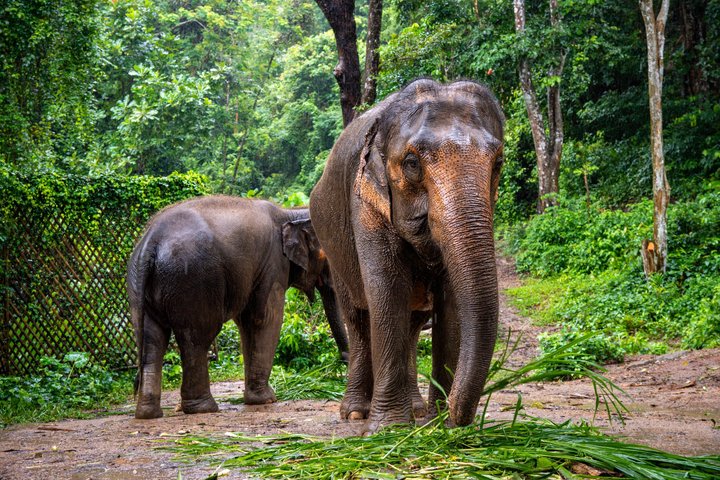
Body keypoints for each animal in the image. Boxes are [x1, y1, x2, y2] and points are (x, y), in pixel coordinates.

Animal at [127, 195, 349, 419]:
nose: (342, 366)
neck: (291, 212)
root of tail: (151, 241)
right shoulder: (273, 265)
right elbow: (264, 318)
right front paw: (267, 399)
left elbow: (246, 323)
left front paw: (256, 398)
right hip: (192, 281)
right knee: (196, 339)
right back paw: (204, 408)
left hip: (142, 285)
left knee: (152, 340)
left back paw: (148, 413)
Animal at [309, 79, 504, 433]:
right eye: (412, 164)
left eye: (498, 163)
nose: (457, 418)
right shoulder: (366, 206)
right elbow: (388, 293)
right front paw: (388, 429)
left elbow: (450, 305)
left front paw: (437, 422)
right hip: (332, 248)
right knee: (357, 319)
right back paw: (356, 413)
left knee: (414, 322)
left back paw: (415, 409)